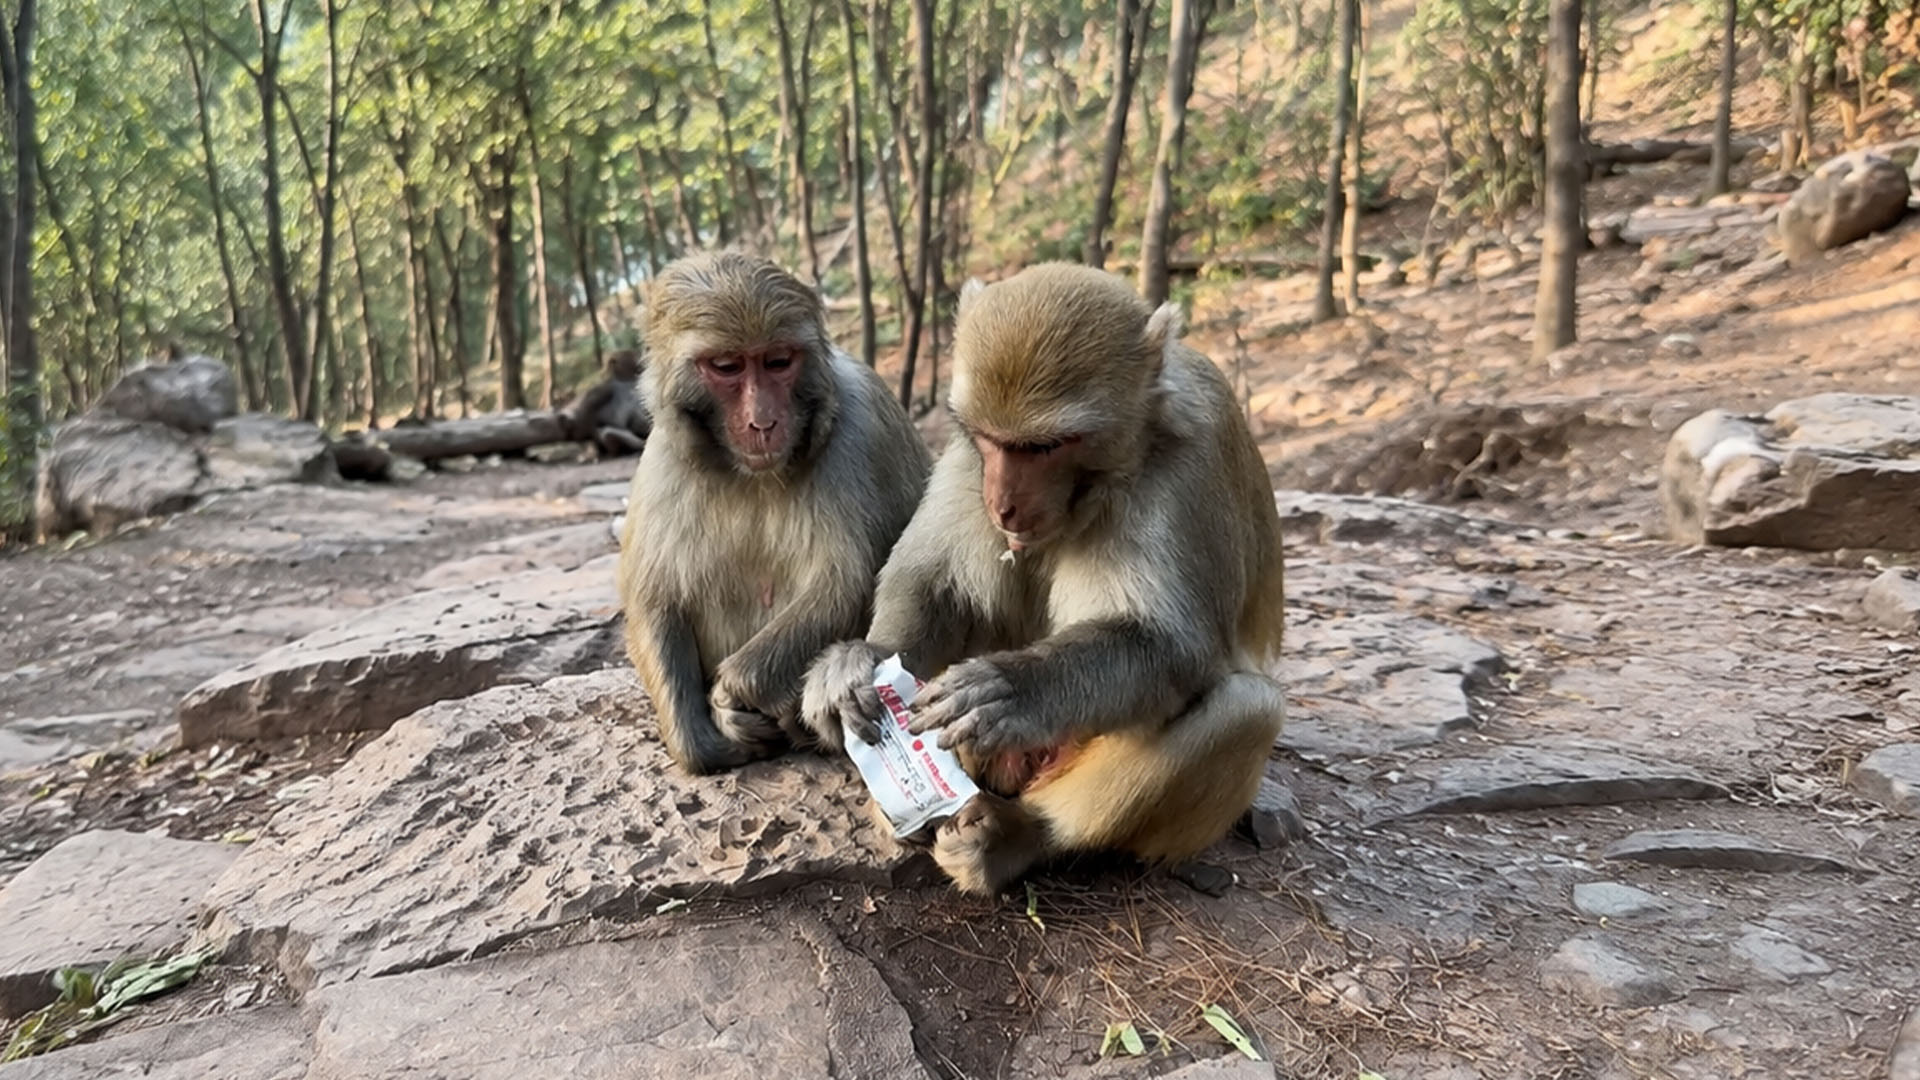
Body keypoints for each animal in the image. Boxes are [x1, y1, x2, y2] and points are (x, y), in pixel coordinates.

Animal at [617, 252, 932, 775]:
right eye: (727, 366)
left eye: (779, 362)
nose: (763, 421)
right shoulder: (664, 455)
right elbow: (654, 596)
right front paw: (700, 740)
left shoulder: (861, 423)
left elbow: (848, 580)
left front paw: (731, 694)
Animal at [801, 262, 1287, 895]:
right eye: (992, 438)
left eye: (1046, 446)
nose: (1004, 504)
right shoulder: (967, 458)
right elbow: (933, 581)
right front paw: (856, 668)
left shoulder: (1190, 470)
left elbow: (1174, 646)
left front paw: (1012, 689)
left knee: (1248, 708)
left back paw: (1019, 839)